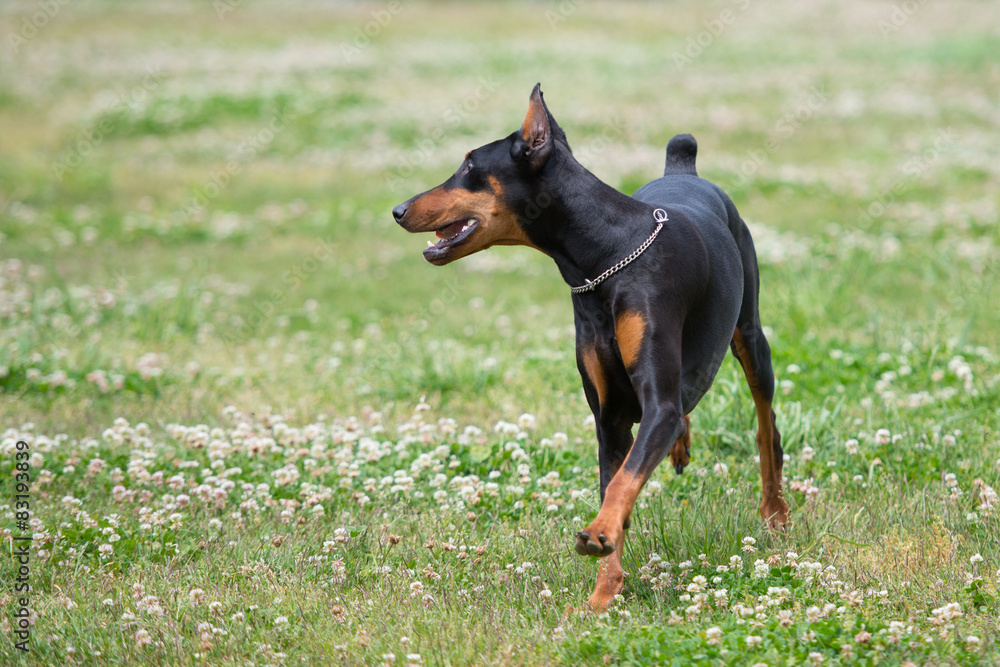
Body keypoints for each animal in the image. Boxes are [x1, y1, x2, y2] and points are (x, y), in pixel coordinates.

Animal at [390, 86, 788, 612]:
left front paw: (599, 537)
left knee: (766, 427)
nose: (397, 210)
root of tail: (683, 170)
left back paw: (775, 510)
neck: (607, 257)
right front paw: (604, 591)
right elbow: (616, 481)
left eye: (469, 165)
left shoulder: (652, 400)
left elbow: (624, 478)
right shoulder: (610, 416)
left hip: (751, 335)